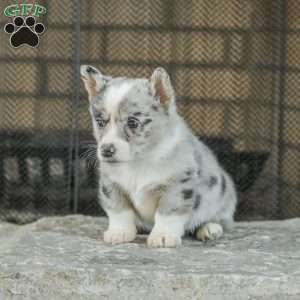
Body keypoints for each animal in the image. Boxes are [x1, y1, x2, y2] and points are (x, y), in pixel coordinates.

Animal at [81, 65, 238, 248]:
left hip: (222, 197)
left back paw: (209, 228)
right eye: (99, 122)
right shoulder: (111, 185)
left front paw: (163, 236)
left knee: (220, 220)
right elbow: (120, 211)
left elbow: (167, 214)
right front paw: (119, 233)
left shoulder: (177, 186)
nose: (106, 150)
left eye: (132, 122)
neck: (138, 161)